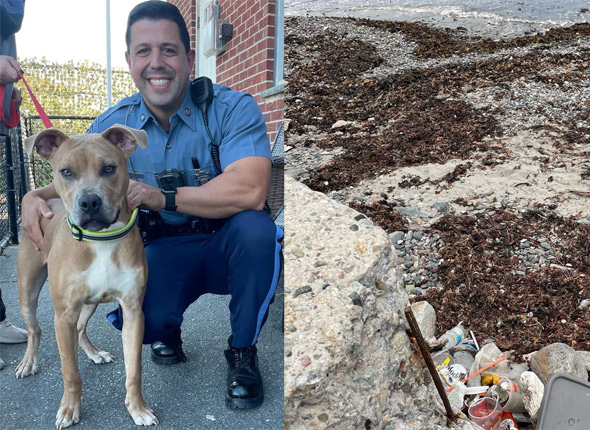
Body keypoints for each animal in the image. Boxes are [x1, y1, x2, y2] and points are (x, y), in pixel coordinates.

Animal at [15, 124, 158, 426]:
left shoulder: (133, 312)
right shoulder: (63, 315)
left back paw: (94, 353)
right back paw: (28, 362)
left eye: (109, 168)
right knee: (35, 328)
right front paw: (70, 408)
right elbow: (70, 371)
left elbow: (134, 369)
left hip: (90, 303)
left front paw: (137, 408)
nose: (90, 201)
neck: (100, 239)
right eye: (66, 171)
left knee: (80, 328)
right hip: (27, 292)